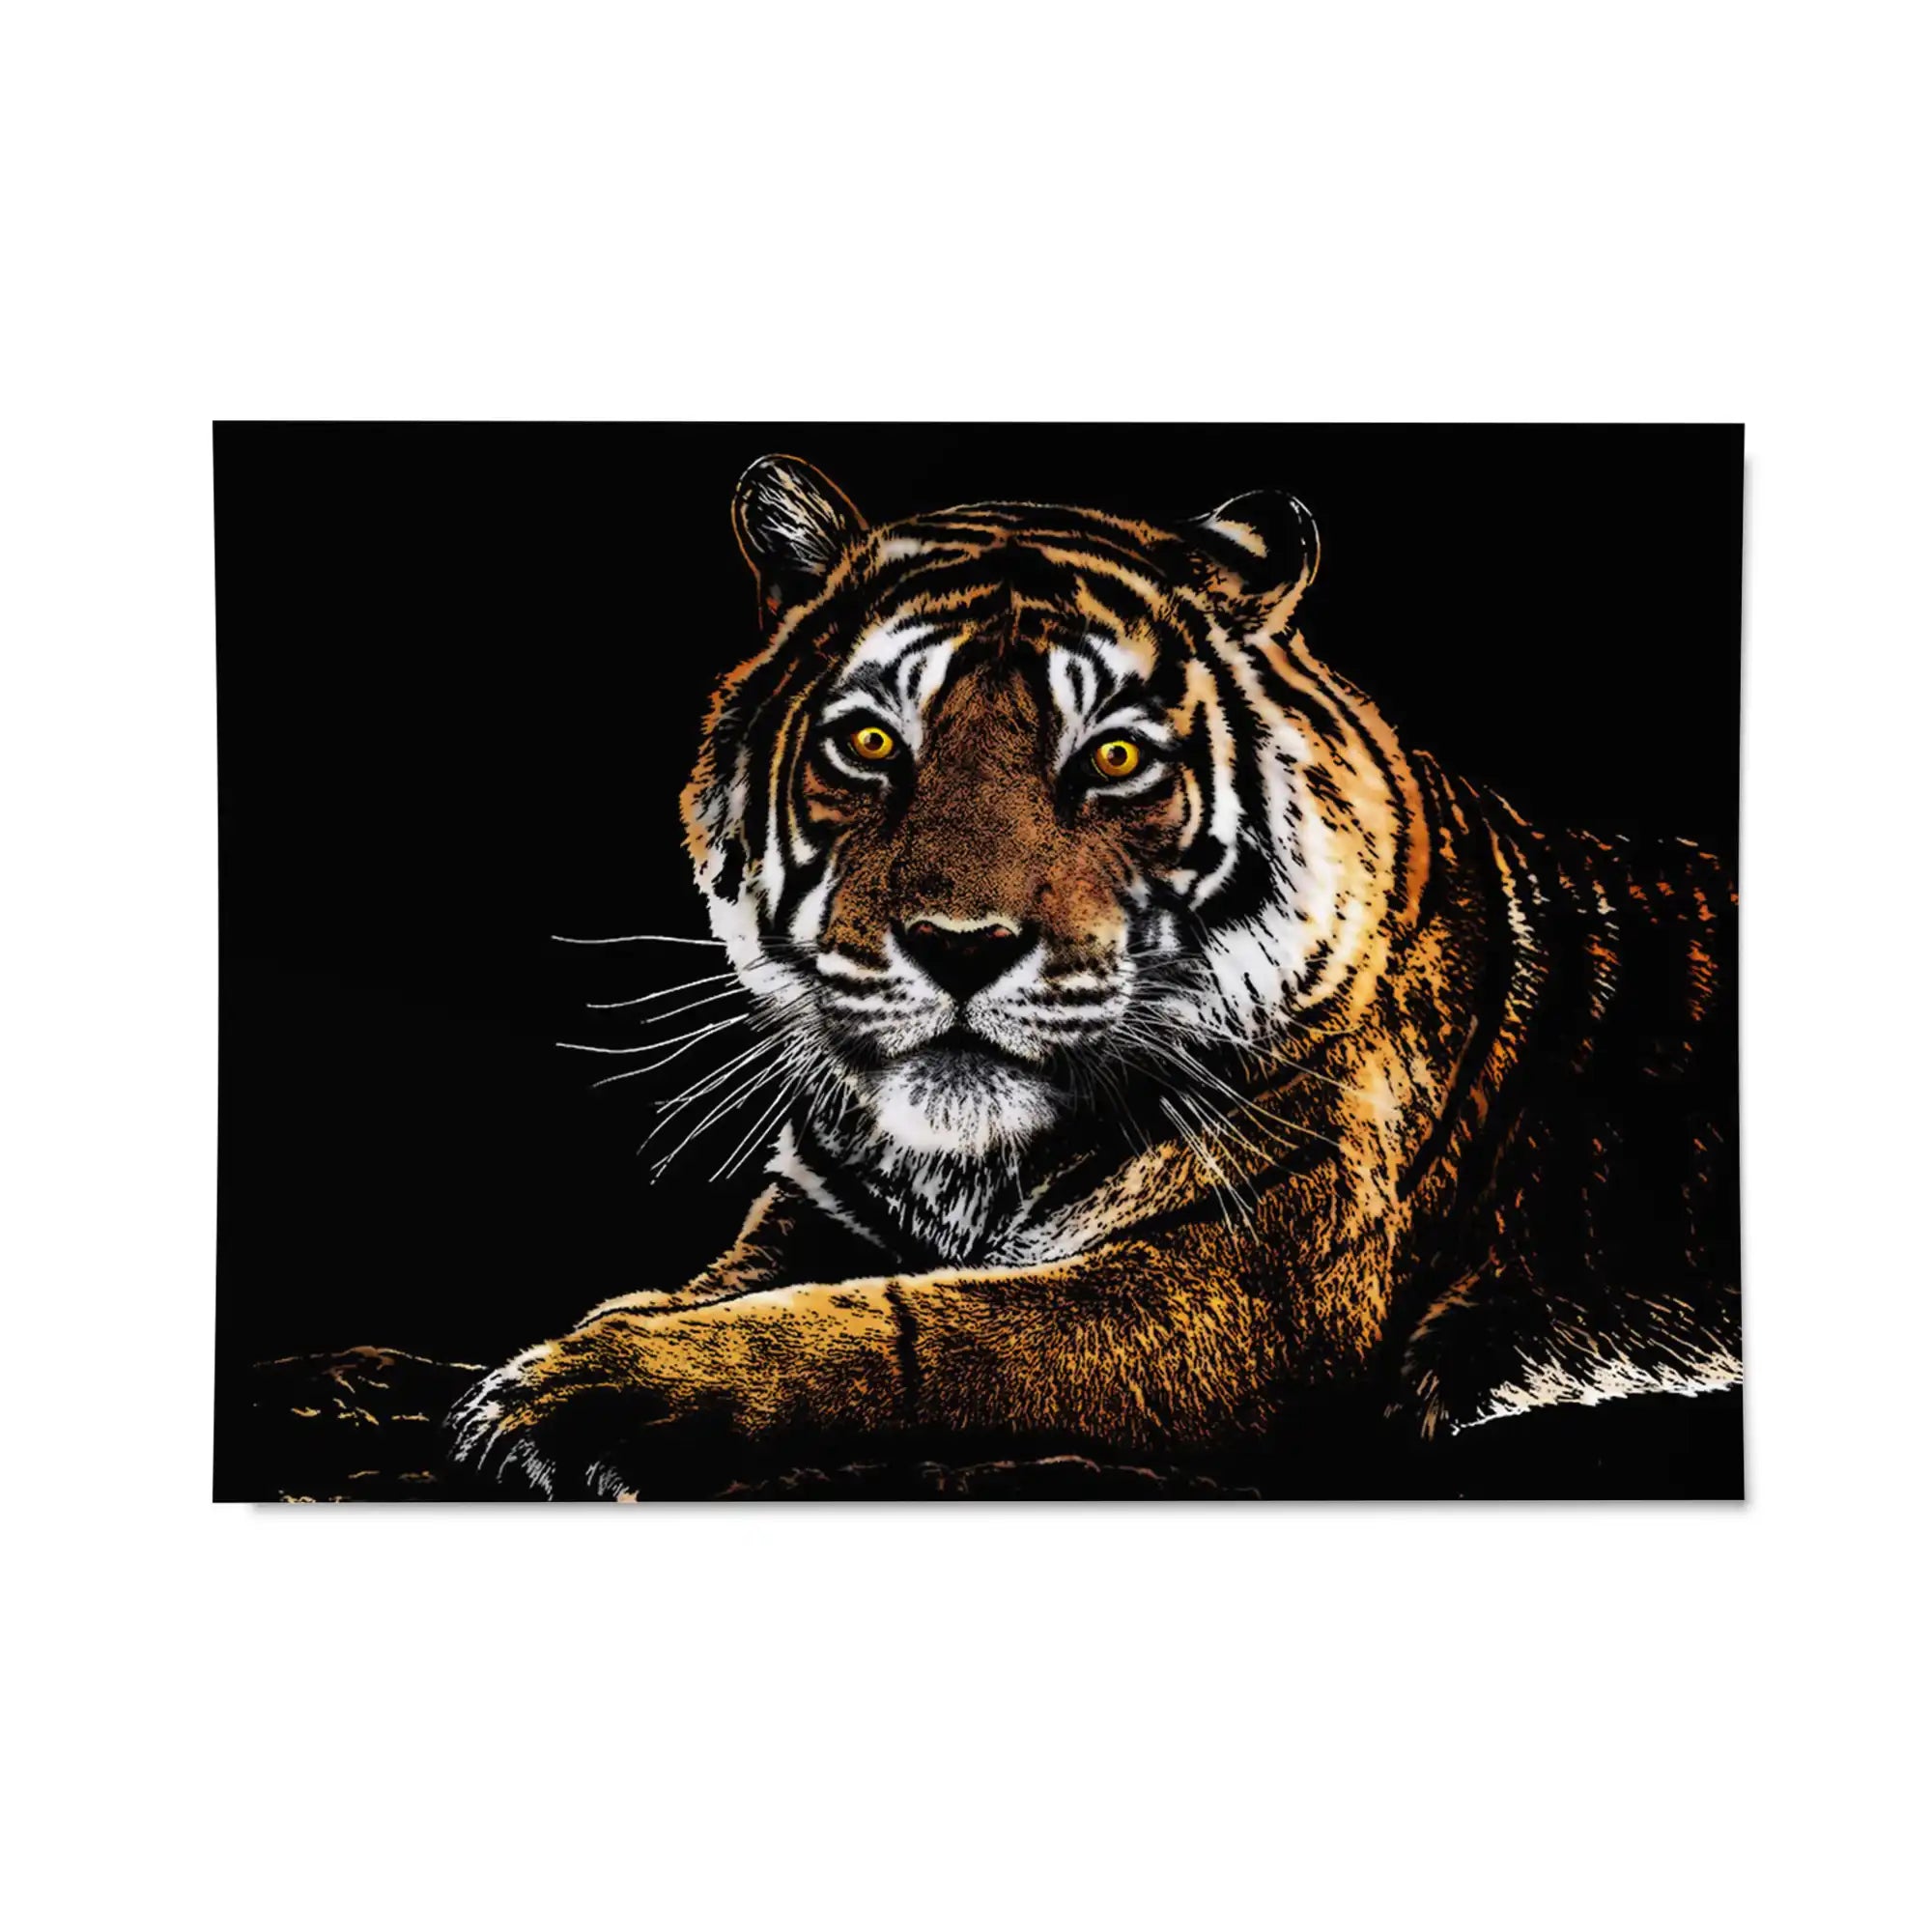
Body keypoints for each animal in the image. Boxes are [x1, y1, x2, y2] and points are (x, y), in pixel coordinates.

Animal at [446, 453, 1741, 1498]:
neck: (961, 1168)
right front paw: (598, 1331)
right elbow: (734, 1279)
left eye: (1113, 756)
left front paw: (575, 1391)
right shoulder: (817, 1205)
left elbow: (915, 1331)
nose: (959, 943)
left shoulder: (1230, 1289)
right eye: (868, 741)